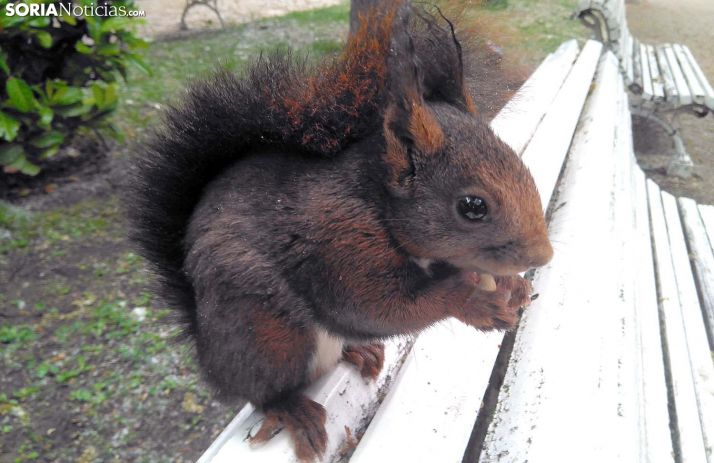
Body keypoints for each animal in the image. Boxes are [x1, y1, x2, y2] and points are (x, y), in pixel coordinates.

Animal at [128, 1, 553, 461]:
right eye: (472, 206)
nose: (543, 256)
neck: (375, 204)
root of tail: (208, 354)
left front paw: (511, 286)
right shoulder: (338, 245)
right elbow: (375, 306)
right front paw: (472, 299)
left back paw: (359, 350)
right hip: (265, 329)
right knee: (262, 389)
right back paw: (291, 408)